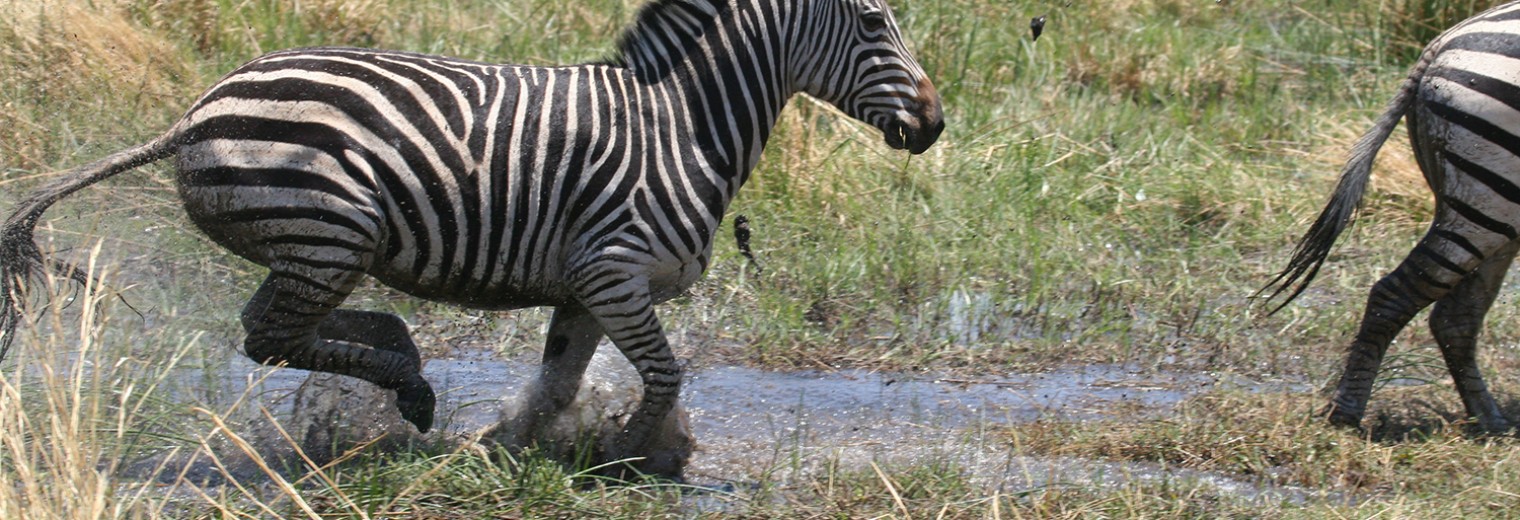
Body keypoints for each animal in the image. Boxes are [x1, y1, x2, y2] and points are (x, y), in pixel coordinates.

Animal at [0, 0, 942, 474]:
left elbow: (561, 382)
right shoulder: (615, 270)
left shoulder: (587, 285)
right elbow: (666, 374)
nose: (935, 124)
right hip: (331, 228)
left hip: (323, 243)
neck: (683, 124)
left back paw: (404, 362)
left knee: (283, 327)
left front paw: (514, 448)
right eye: (873, 21)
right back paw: (408, 385)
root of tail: (194, 112)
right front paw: (628, 458)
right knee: (269, 335)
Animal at [1264, 0, 1520, 431]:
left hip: (1495, 207)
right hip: (1488, 197)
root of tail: (1444, 39)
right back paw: (1345, 413)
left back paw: (1489, 420)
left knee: (1455, 315)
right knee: (1395, 294)